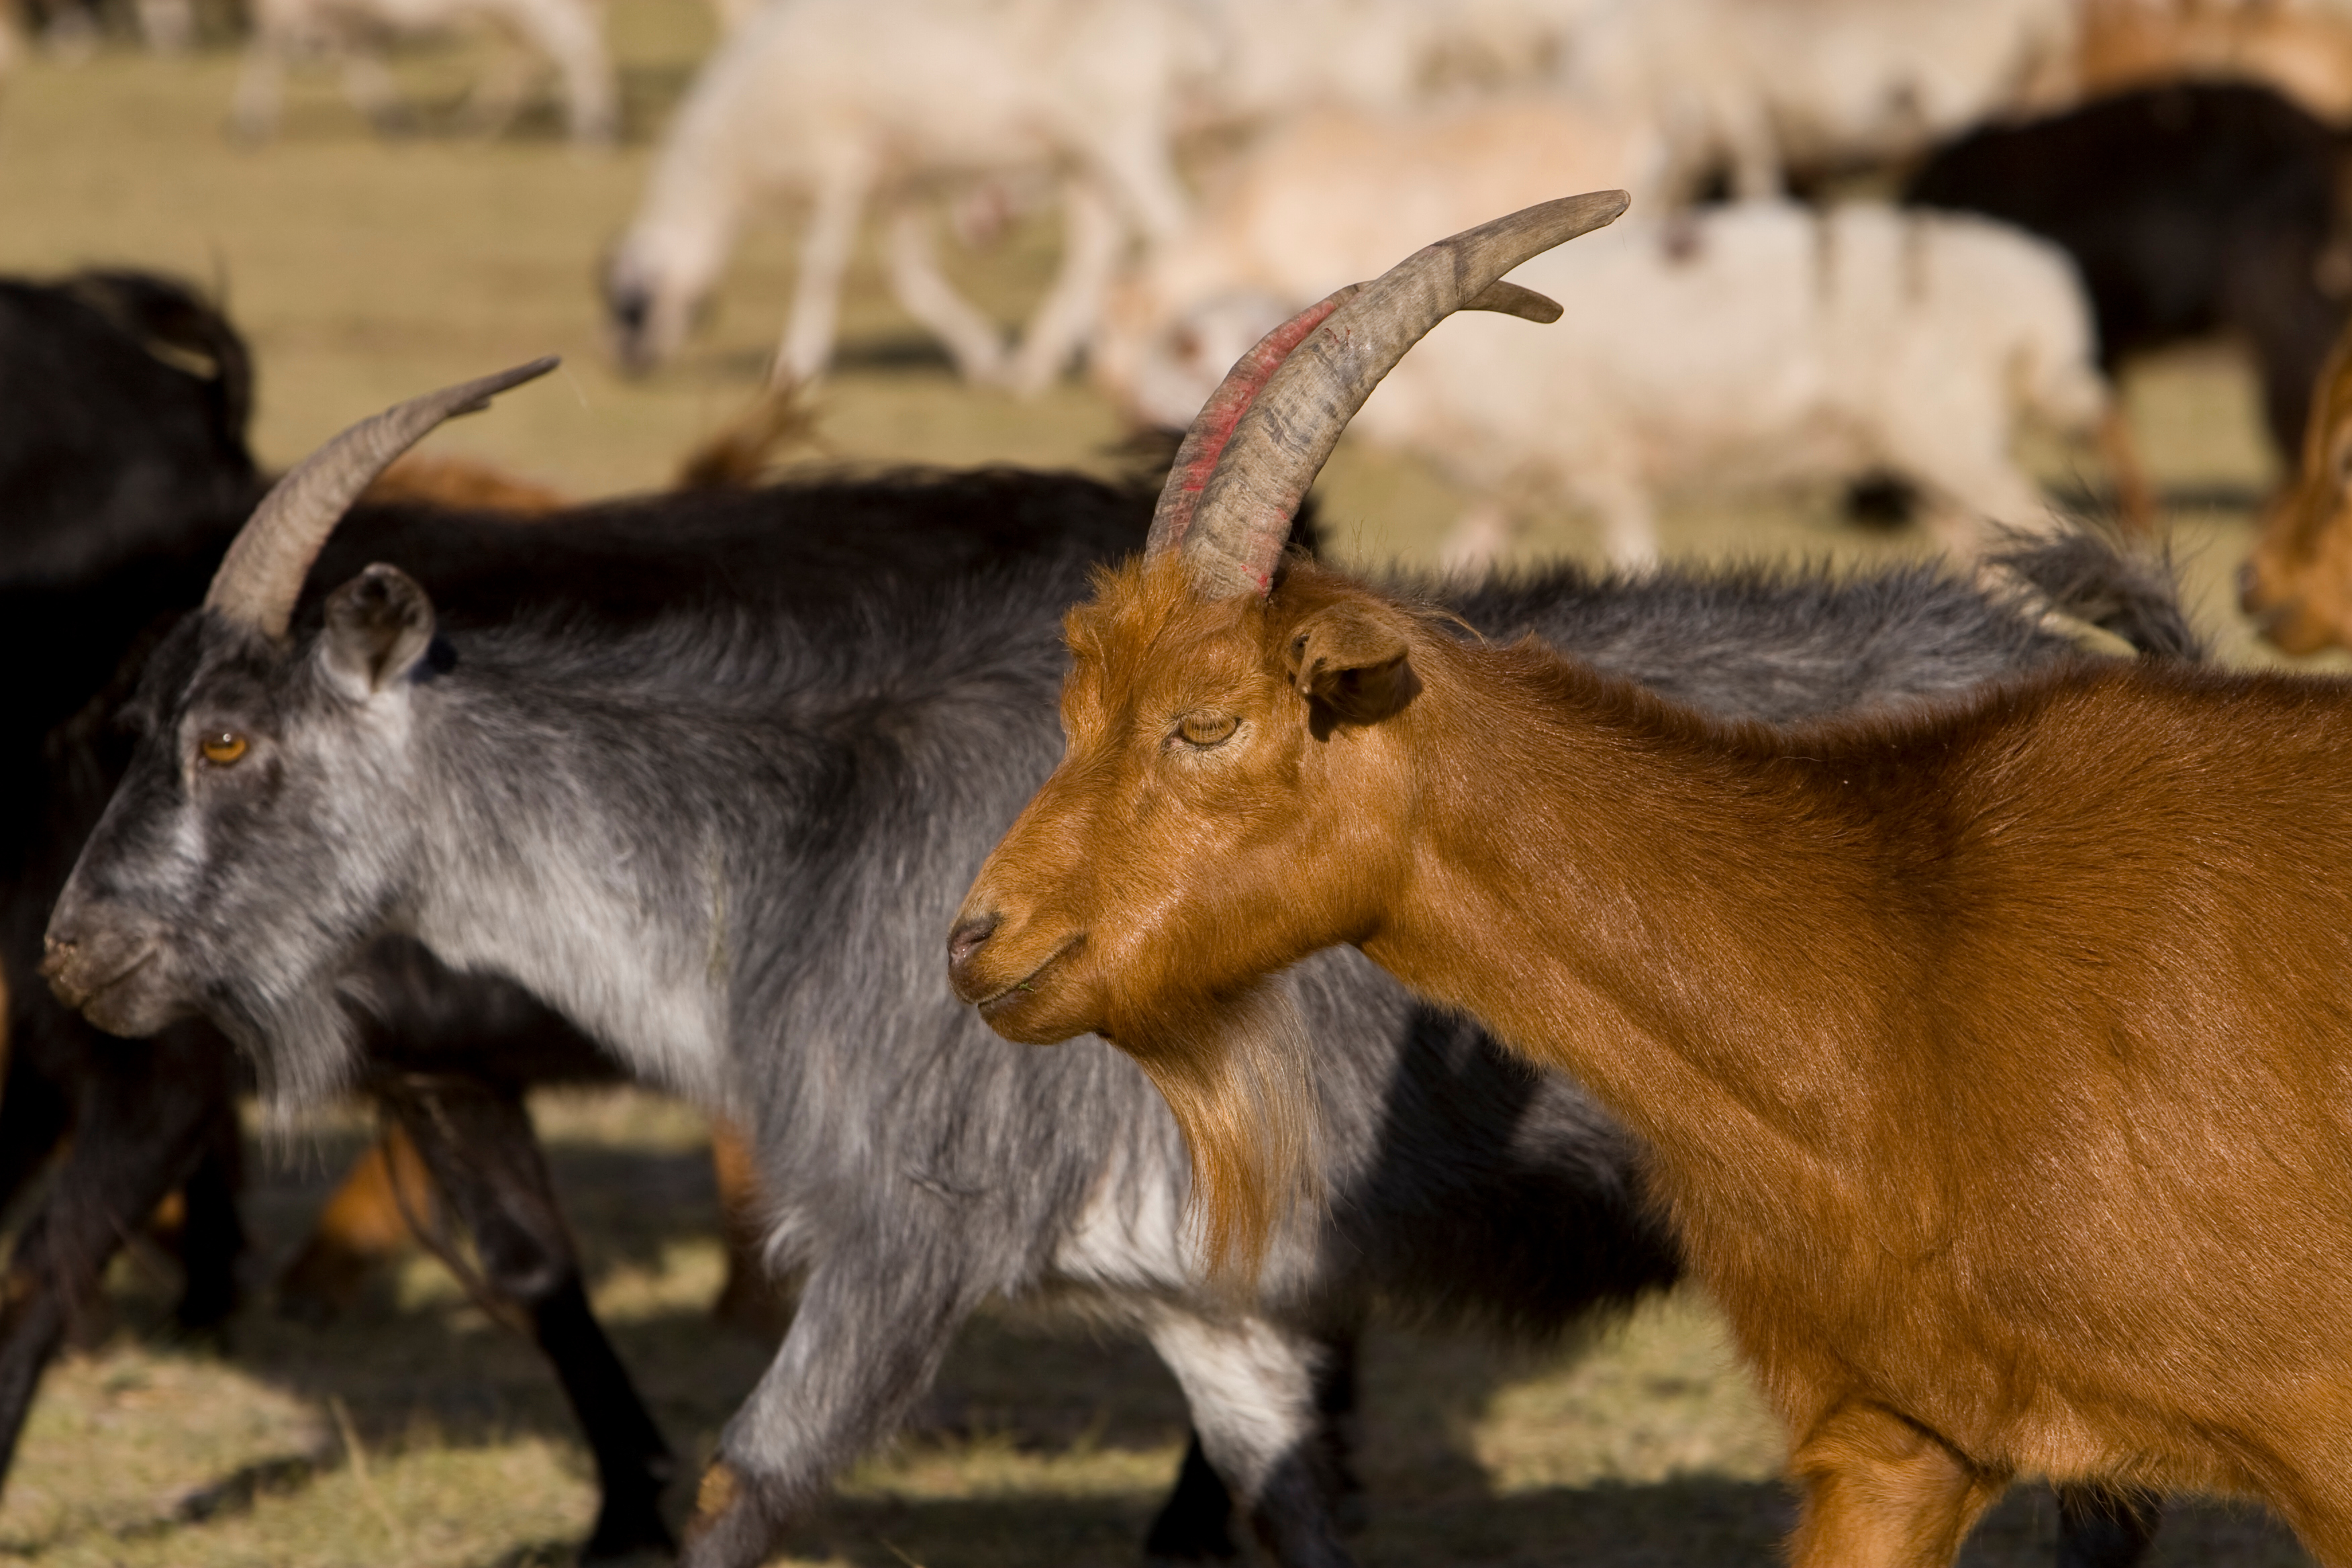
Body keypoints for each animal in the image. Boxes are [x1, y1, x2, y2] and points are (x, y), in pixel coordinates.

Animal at [41, 344, 2200, 1568]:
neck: (782, 851)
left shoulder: (899, 1249)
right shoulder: (1209, 1302)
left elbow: (743, 1495)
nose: (78, 955)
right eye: (126, 722)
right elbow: (1296, 1508)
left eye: (225, 739)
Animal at [229, 0, 617, 146]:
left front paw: (248, 126)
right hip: (518, 17)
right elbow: (358, 59)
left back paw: (593, 134)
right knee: (542, 58)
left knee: (579, 54)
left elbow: (265, 53)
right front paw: (395, 121)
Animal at [1107, 159, 2110, 566]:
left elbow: (1630, 548)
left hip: (1949, 434)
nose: (1122, 415)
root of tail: (2041, 294)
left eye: (1188, 343)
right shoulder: (1511, 484)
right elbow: (1469, 554)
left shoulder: (1597, 458)